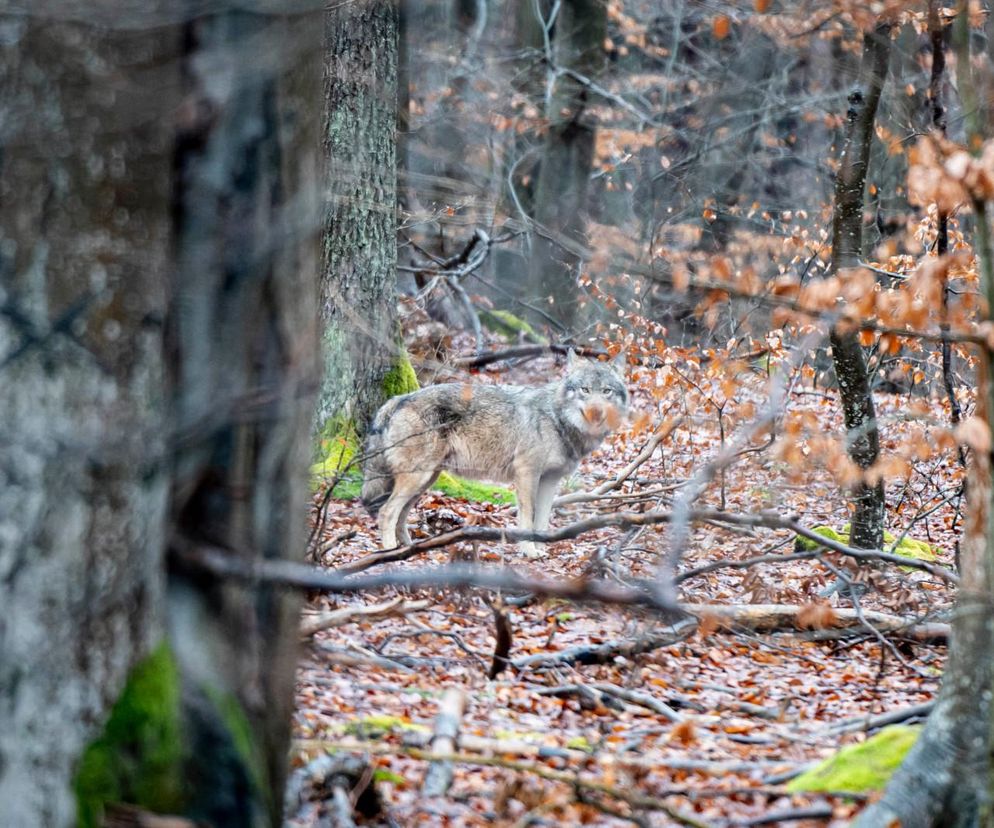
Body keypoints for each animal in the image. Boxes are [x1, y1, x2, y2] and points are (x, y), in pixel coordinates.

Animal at [360, 352, 628, 560]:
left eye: (606, 392)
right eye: (585, 390)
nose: (596, 413)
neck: (556, 418)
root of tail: (398, 399)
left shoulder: (550, 480)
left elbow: (542, 520)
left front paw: (542, 549)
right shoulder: (527, 474)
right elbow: (527, 518)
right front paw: (529, 551)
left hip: (426, 479)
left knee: (401, 515)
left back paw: (409, 550)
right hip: (419, 477)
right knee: (386, 512)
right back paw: (390, 553)